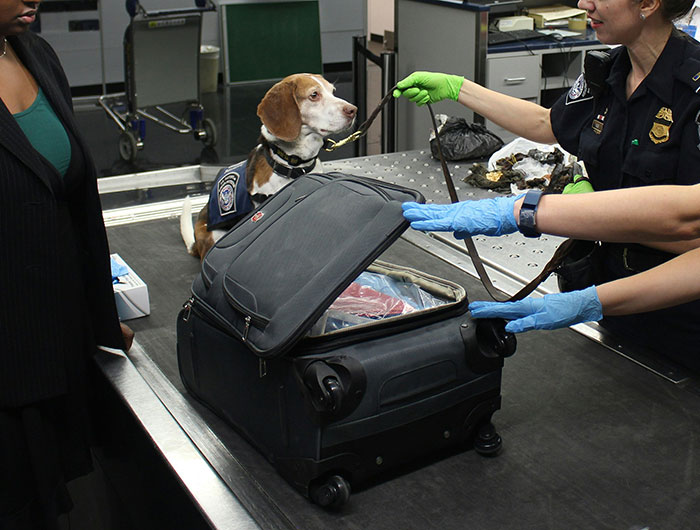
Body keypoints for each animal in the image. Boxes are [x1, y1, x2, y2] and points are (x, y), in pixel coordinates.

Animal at [182, 71, 356, 258]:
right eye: (314, 95)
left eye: (333, 91)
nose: (353, 110)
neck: (295, 164)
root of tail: (196, 244)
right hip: (215, 235)